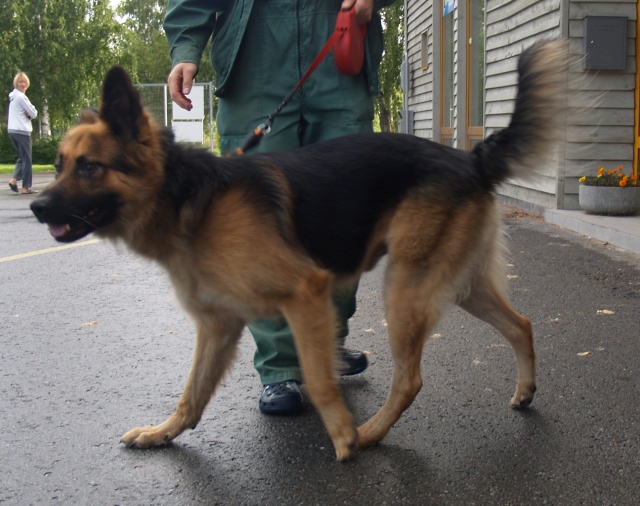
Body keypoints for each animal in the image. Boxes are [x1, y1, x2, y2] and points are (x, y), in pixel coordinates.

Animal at [31, 39, 569, 462]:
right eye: (57, 164)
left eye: (90, 167)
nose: (36, 205)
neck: (191, 201)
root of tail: (470, 158)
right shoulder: (218, 327)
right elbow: (191, 394)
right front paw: (162, 433)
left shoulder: (306, 295)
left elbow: (318, 375)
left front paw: (343, 437)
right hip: (458, 286)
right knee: (521, 325)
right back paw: (525, 392)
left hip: (405, 289)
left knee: (410, 380)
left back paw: (370, 433)